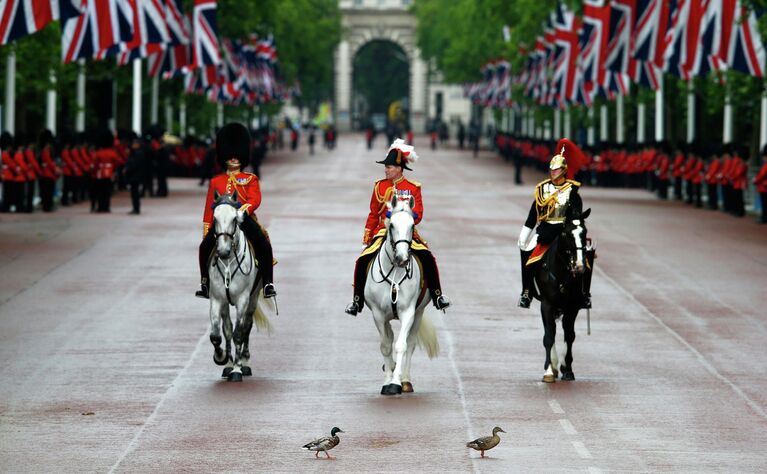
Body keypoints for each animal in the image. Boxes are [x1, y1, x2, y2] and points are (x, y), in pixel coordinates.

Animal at [207, 191, 272, 380]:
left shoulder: (243, 299)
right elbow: (217, 334)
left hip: (253, 297)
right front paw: (222, 358)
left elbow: (239, 333)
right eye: (214, 218)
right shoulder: (217, 299)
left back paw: (244, 362)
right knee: (228, 328)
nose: (223, 252)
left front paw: (237, 369)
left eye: (235, 219)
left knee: (246, 326)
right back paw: (228, 364)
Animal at [364, 194, 438, 394]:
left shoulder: (408, 312)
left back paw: (406, 381)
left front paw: (395, 383)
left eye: (412, 225)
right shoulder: (377, 314)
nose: (402, 258)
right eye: (391, 225)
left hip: (418, 313)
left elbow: (401, 345)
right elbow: (385, 346)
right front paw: (387, 380)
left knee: (410, 343)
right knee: (389, 337)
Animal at [536, 209, 592, 384]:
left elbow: (569, 335)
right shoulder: (546, 304)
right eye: (566, 233)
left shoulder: (572, 307)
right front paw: (548, 370)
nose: (579, 266)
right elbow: (549, 335)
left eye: (584, 233)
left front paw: (567, 369)